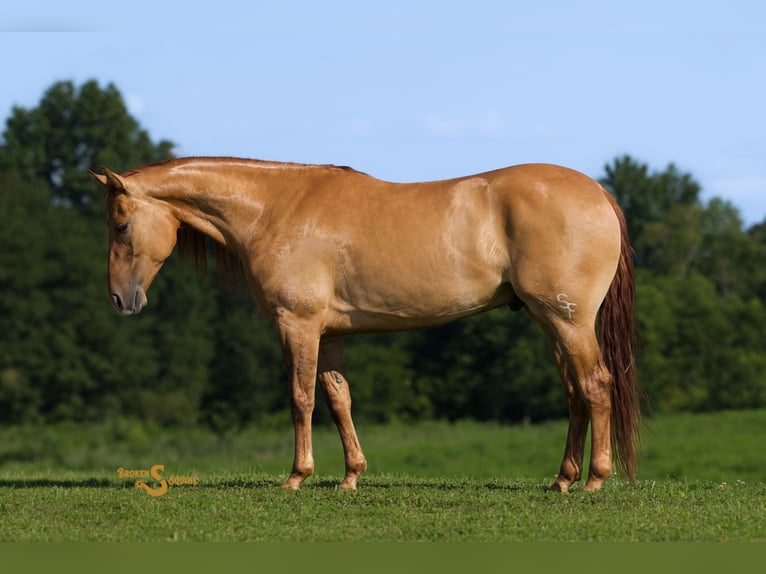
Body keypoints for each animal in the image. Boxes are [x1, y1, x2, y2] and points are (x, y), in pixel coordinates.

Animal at [90, 156, 640, 492]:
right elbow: (338, 401)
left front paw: (297, 476)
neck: (272, 210)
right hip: (552, 324)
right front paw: (351, 475)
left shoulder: (298, 326)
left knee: (595, 385)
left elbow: (301, 399)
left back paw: (595, 478)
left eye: (120, 224)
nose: (120, 299)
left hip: (568, 322)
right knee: (574, 392)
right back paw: (563, 479)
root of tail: (598, 193)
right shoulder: (329, 334)